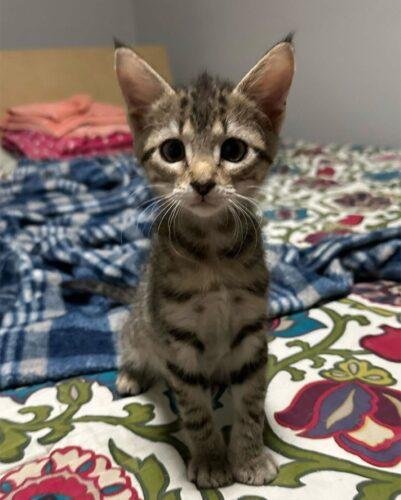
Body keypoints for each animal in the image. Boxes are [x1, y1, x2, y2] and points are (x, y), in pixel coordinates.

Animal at [111, 35, 294, 488]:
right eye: (173, 150)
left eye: (234, 150)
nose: (203, 182)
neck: (213, 255)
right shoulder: (177, 340)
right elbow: (194, 410)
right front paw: (212, 459)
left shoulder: (251, 333)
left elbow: (250, 402)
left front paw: (248, 456)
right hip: (141, 324)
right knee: (130, 342)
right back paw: (130, 373)